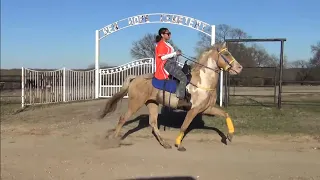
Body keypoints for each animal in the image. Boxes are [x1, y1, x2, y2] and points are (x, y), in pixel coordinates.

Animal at [100, 41, 242, 150]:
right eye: (226, 54)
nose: (239, 68)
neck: (202, 81)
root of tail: (135, 78)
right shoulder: (193, 110)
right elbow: (184, 127)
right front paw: (178, 145)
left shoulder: (207, 109)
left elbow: (226, 114)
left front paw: (230, 136)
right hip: (135, 104)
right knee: (123, 119)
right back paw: (113, 140)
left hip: (152, 103)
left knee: (153, 123)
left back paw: (164, 144)